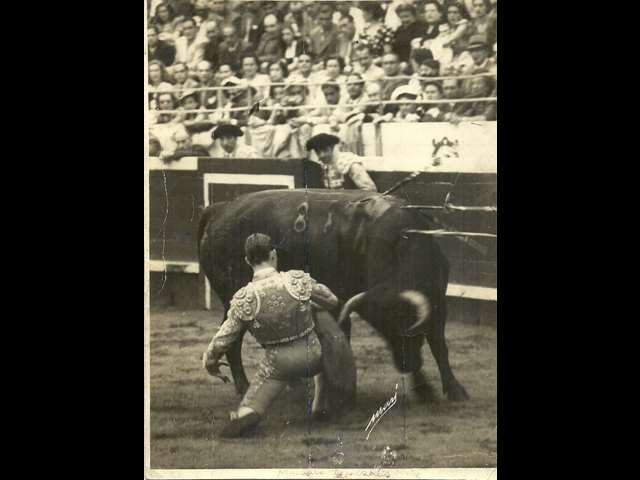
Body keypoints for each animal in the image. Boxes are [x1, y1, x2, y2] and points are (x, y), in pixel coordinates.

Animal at [198, 188, 468, 402]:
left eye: (405, 325)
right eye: (384, 328)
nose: (406, 365)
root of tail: (220, 209)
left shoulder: (438, 303)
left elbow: (439, 346)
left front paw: (446, 390)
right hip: (233, 297)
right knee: (232, 340)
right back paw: (244, 387)